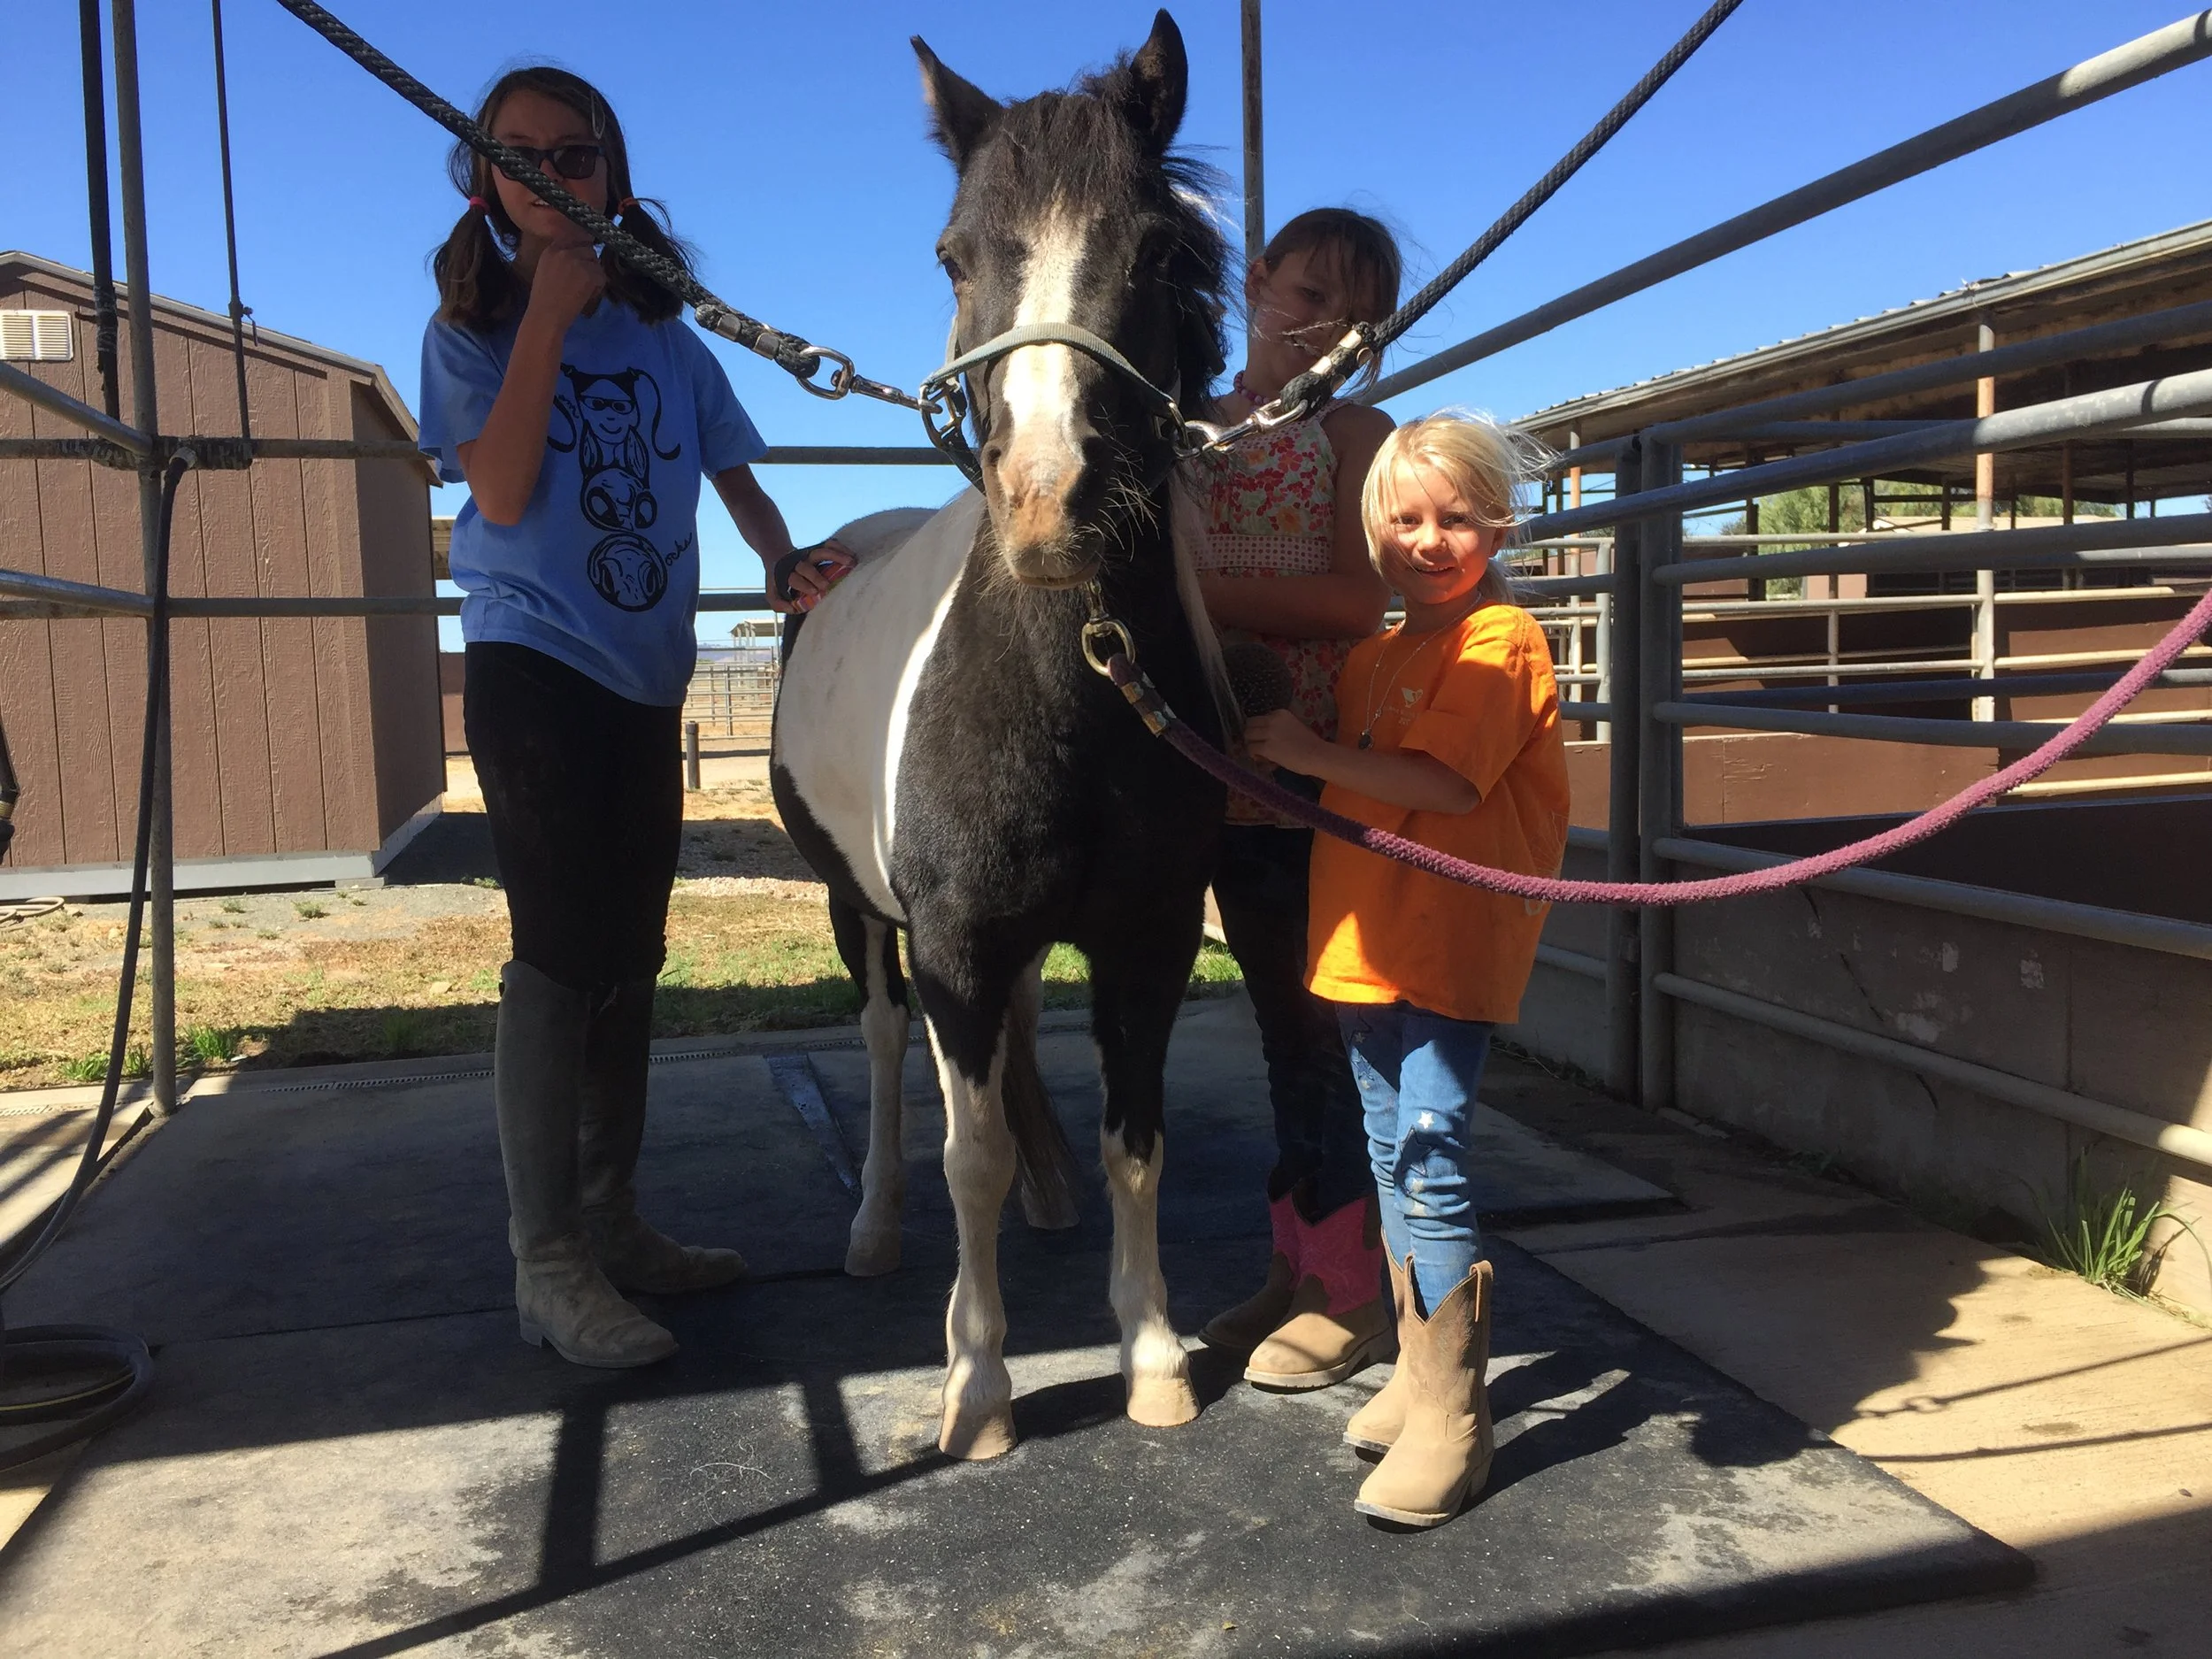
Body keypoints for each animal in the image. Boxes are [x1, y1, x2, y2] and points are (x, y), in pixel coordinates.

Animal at [769, 10, 1233, 1461]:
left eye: (1162, 248)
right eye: (953, 255)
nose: (1047, 506)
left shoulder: (1146, 934)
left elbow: (1140, 1139)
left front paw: (1151, 1355)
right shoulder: (954, 942)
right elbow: (958, 1146)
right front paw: (976, 1387)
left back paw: (1045, 1188)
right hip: (858, 910)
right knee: (881, 1052)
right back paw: (875, 1225)